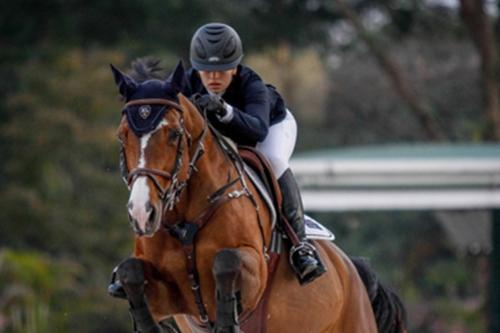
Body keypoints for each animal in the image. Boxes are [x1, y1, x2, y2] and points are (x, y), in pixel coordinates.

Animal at [109, 60, 406, 332]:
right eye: (122, 136)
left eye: (174, 134)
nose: (142, 213)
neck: (185, 220)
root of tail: (351, 269)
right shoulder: (170, 297)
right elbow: (130, 272)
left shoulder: (254, 275)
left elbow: (226, 262)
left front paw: (226, 324)